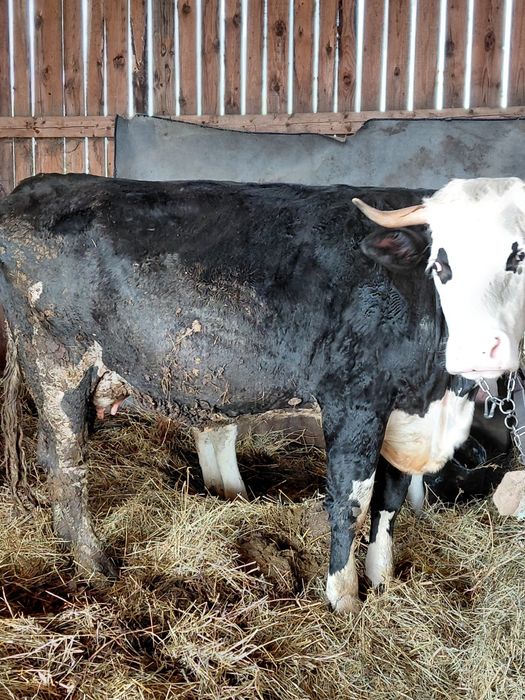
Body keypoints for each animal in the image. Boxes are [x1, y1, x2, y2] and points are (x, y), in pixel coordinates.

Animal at [0, 173, 480, 613]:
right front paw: (344, 599)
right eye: (445, 258)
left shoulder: (405, 413)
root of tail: (30, 187)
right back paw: (94, 562)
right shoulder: (355, 403)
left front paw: (382, 579)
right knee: (67, 466)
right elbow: (352, 501)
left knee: (51, 455)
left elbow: (390, 500)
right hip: (58, 365)